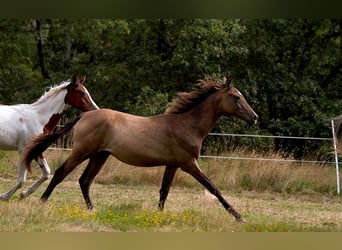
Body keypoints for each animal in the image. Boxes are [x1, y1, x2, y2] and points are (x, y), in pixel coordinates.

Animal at [24, 77, 258, 222]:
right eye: (236, 97)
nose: (254, 117)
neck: (187, 125)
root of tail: (84, 115)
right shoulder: (189, 164)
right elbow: (214, 188)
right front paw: (240, 217)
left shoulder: (173, 165)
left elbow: (164, 190)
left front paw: (158, 216)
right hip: (82, 152)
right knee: (61, 173)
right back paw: (41, 203)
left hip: (100, 156)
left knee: (84, 180)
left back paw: (92, 210)